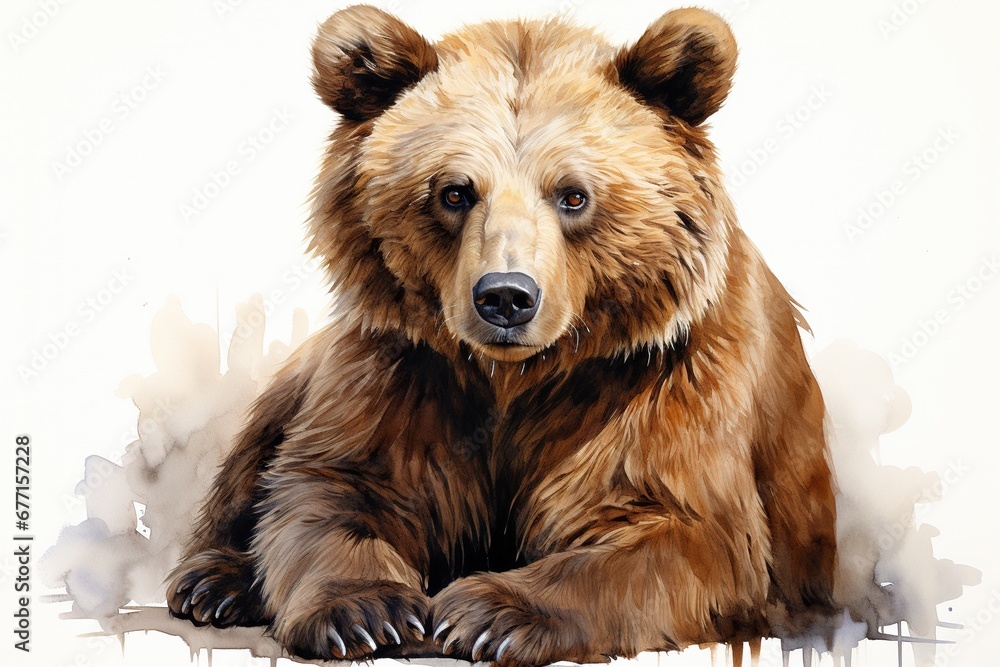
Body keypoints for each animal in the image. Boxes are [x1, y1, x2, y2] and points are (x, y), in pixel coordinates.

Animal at [166, 5, 838, 665]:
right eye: (454, 191)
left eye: (573, 195)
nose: (506, 296)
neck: (518, 375)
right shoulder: (404, 376)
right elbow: (329, 486)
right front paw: (367, 612)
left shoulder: (663, 385)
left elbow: (681, 534)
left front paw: (489, 613)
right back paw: (214, 582)